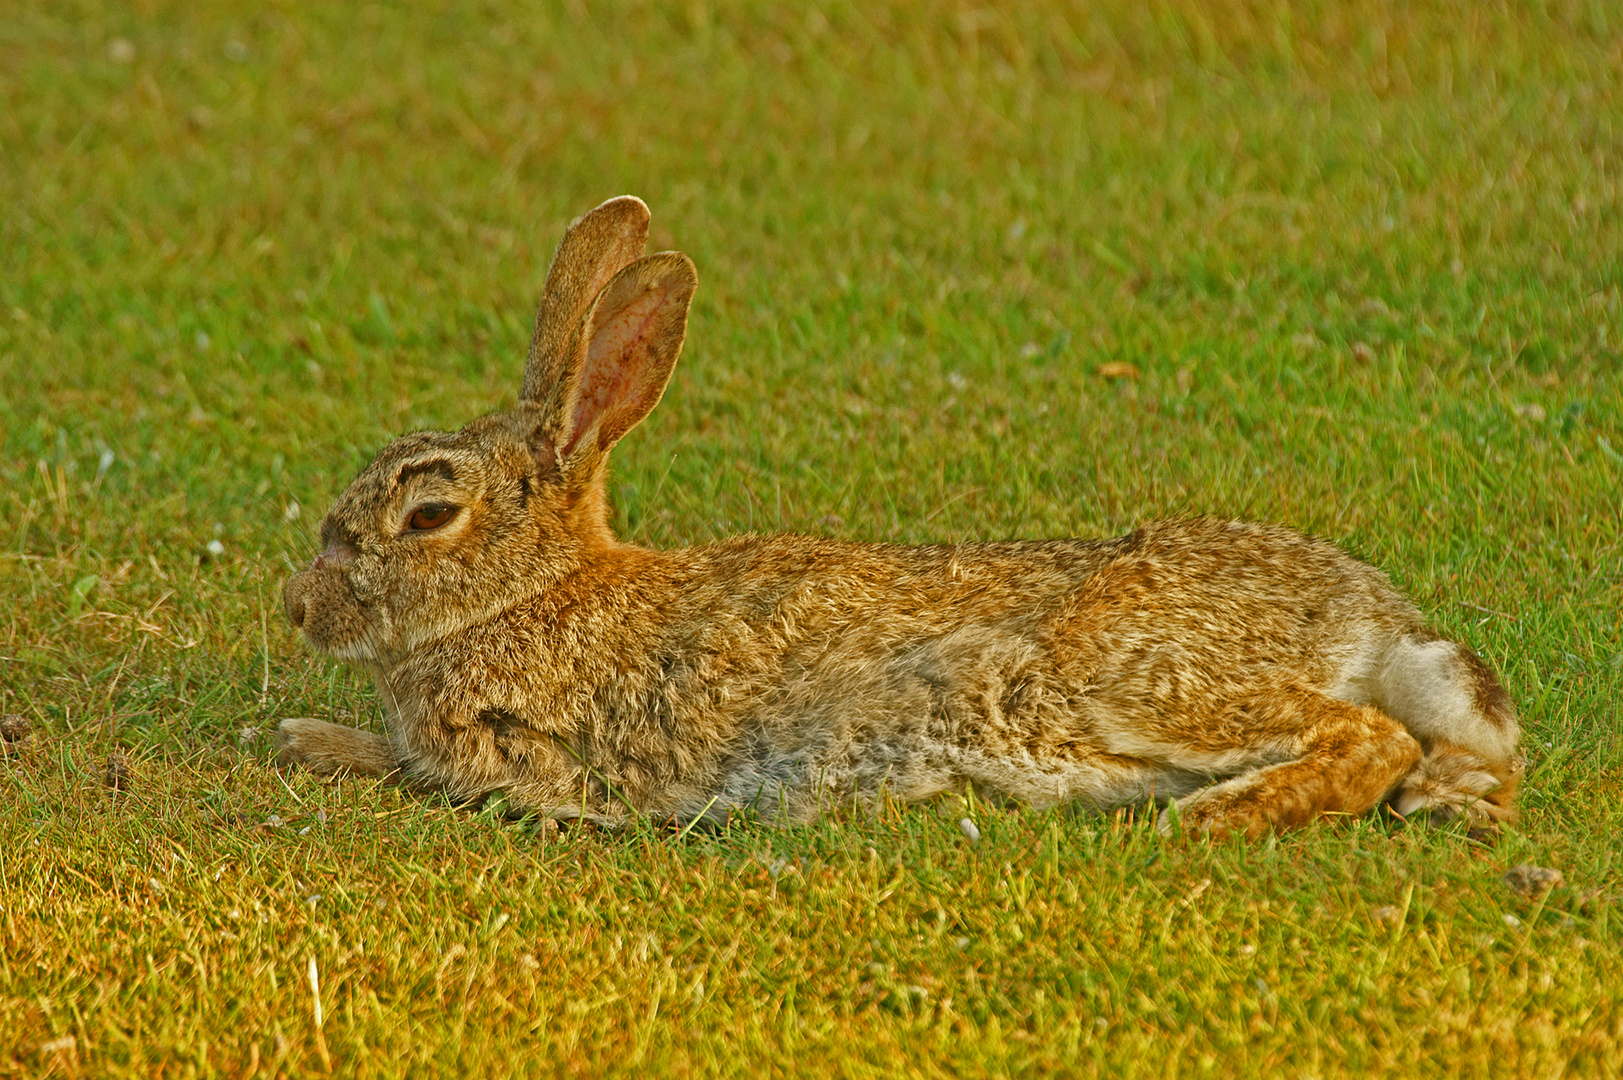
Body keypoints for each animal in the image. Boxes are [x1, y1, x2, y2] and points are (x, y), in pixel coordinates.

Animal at [279, 195, 1519, 844]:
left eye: (428, 513)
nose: (298, 605)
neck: (531, 593)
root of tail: (1369, 617)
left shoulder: (535, 760)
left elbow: (425, 772)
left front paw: (308, 738)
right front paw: (306, 735)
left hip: (1124, 680)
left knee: (1361, 736)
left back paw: (1213, 818)